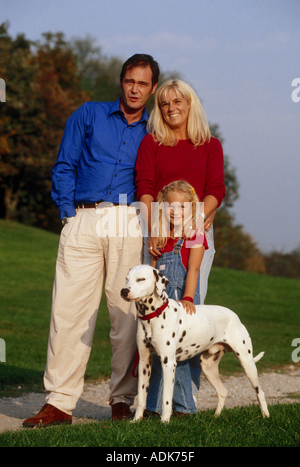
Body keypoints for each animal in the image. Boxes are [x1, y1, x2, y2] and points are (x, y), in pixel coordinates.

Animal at [120, 266, 270, 424]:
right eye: (126, 279)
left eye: (141, 279)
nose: (124, 291)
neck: (153, 316)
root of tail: (235, 316)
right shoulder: (144, 363)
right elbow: (141, 397)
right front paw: (136, 420)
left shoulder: (168, 364)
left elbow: (166, 398)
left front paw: (165, 421)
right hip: (208, 367)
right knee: (223, 392)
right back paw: (216, 416)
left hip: (247, 362)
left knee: (260, 392)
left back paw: (266, 416)